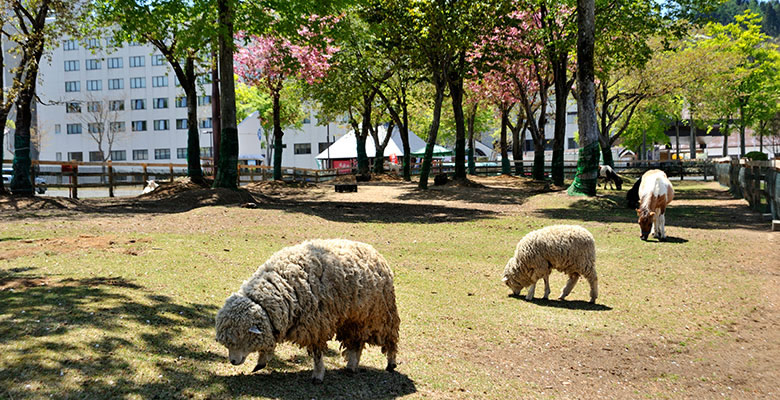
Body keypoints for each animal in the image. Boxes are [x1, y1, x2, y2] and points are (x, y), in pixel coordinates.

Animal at [215, 239, 400, 382]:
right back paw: (351, 366)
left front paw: (318, 375)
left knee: (389, 340)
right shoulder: (275, 325)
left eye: (241, 338)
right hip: (356, 318)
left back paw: (391, 363)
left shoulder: (316, 326)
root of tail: (374, 251)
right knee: (356, 342)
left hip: (381, 315)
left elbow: (317, 354)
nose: (232, 361)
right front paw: (261, 363)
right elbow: (268, 346)